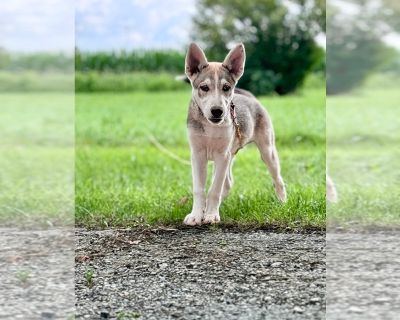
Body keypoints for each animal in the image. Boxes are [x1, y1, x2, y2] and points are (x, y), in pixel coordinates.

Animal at [183, 43, 286, 226]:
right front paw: (196, 214)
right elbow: (199, 189)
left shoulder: (222, 155)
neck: (211, 127)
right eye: (204, 88)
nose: (217, 111)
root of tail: (250, 97)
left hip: (267, 150)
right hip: (229, 156)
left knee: (277, 179)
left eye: (226, 88)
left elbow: (214, 189)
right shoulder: (198, 154)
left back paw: (282, 201)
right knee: (228, 183)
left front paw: (211, 215)